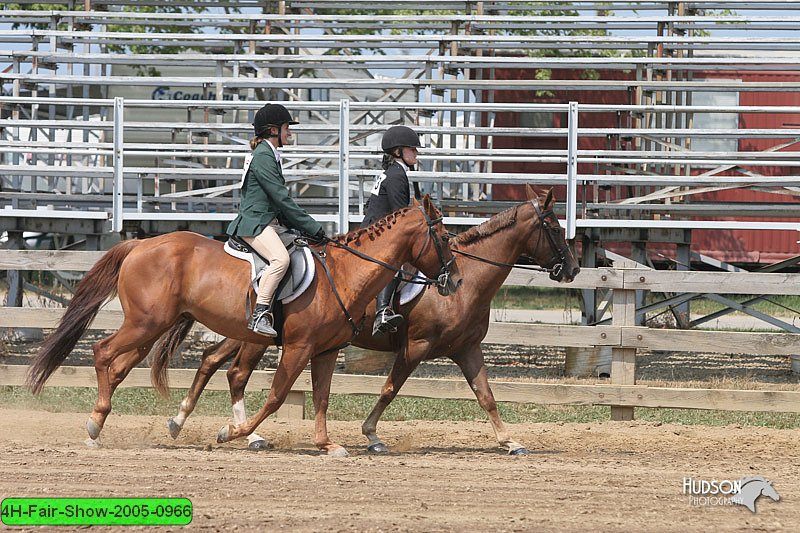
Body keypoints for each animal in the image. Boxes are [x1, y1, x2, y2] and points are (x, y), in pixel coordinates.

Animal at [26, 193, 462, 450]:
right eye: (442, 236)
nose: (455, 281)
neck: (343, 272)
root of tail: (139, 244)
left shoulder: (324, 351)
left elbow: (320, 398)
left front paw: (326, 445)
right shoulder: (298, 347)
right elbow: (276, 396)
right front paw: (231, 433)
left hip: (154, 328)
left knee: (121, 366)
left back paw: (121, 421)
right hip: (146, 324)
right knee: (103, 352)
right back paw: (95, 424)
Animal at [164, 187, 576, 454]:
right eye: (555, 229)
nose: (571, 269)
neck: (471, 279)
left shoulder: (466, 348)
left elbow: (486, 396)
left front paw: (511, 441)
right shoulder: (416, 346)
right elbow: (390, 389)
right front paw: (371, 435)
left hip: (244, 331)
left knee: (213, 361)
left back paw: (191, 423)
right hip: (257, 338)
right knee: (234, 373)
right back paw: (237, 432)